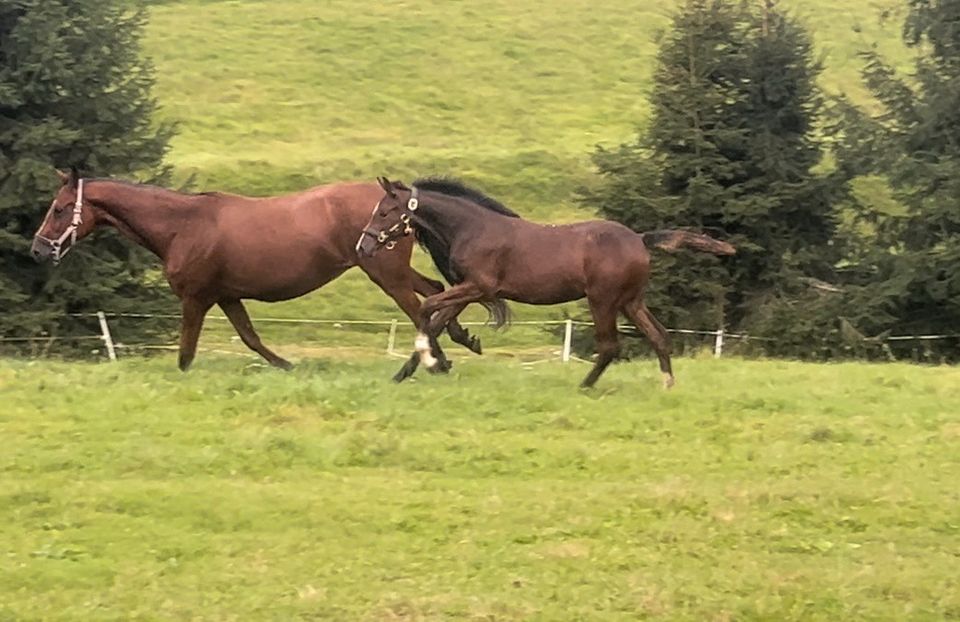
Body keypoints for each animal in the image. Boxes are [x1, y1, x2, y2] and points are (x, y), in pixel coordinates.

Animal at [31, 168, 480, 370]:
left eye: (58, 209)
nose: (37, 249)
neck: (182, 225)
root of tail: (400, 201)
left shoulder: (196, 298)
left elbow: (186, 353)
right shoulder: (227, 296)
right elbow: (251, 339)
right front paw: (289, 367)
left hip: (385, 273)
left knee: (417, 305)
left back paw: (437, 360)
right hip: (393, 271)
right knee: (434, 288)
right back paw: (463, 340)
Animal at [356, 178, 740, 388]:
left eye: (385, 212)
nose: (364, 246)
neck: (474, 228)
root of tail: (641, 239)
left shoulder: (480, 287)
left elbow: (428, 311)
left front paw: (432, 360)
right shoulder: (468, 289)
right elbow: (437, 321)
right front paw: (409, 371)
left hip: (602, 300)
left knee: (610, 346)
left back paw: (584, 386)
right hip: (631, 302)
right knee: (659, 336)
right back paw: (667, 384)